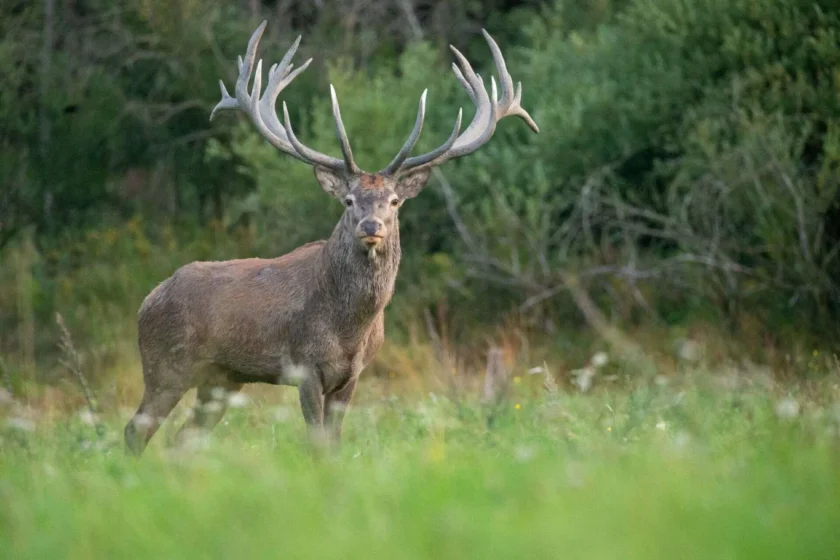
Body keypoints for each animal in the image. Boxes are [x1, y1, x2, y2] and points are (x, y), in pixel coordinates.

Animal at [124, 20, 538, 456]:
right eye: (349, 199)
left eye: (394, 201)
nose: (371, 226)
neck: (349, 330)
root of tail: (146, 302)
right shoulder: (304, 367)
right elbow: (316, 443)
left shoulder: (352, 375)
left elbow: (335, 443)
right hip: (166, 365)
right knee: (136, 429)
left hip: (221, 379)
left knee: (182, 439)